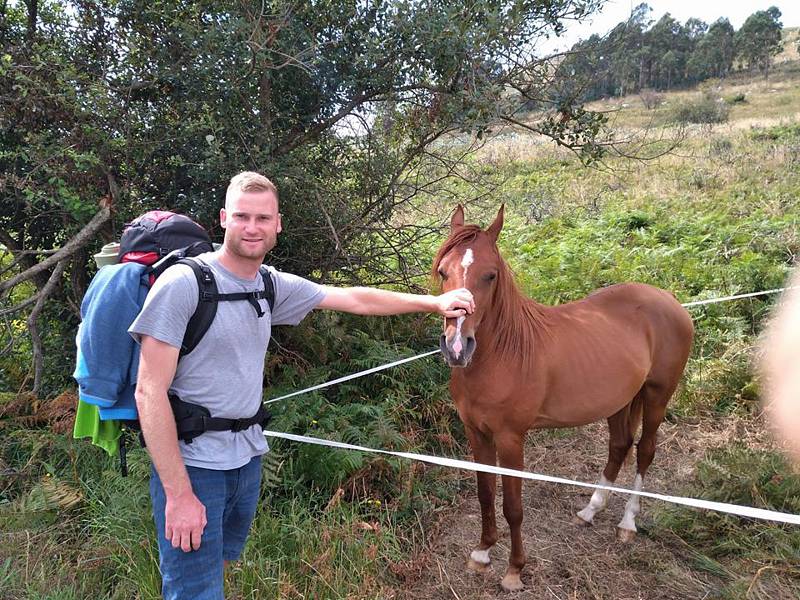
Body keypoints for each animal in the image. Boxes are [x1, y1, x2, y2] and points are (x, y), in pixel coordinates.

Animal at [434, 206, 692, 592]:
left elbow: (513, 506)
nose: (456, 347)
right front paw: (481, 553)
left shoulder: (511, 439)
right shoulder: (476, 433)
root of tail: (670, 299)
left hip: (657, 396)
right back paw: (590, 510)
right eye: (443, 271)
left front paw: (514, 570)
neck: (505, 353)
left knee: (645, 450)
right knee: (619, 445)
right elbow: (485, 495)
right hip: (618, 402)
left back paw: (627, 523)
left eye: (490, 275)